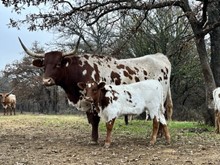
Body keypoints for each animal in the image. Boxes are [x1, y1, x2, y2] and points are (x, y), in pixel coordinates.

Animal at [18, 36, 174, 144]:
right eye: (44, 65)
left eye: (57, 64)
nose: (46, 81)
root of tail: (159, 56)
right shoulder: (87, 100)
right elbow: (92, 120)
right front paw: (94, 138)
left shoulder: (94, 101)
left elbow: (95, 120)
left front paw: (94, 139)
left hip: (160, 98)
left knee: (161, 114)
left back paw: (159, 135)